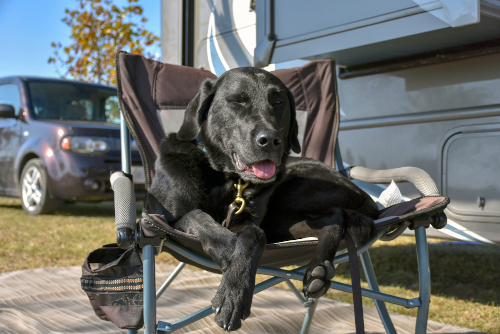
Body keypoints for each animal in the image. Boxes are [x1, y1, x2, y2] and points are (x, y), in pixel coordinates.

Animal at [148, 68, 378, 332]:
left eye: (278, 103)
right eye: (237, 101)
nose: (270, 140)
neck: (228, 179)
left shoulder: (248, 223)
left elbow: (254, 236)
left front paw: (233, 296)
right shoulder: (164, 217)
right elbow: (195, 215)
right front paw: (227, 246)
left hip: (288, 198)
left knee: (335, 217)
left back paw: (318, 271)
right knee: (331, 219)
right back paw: (318, 270)